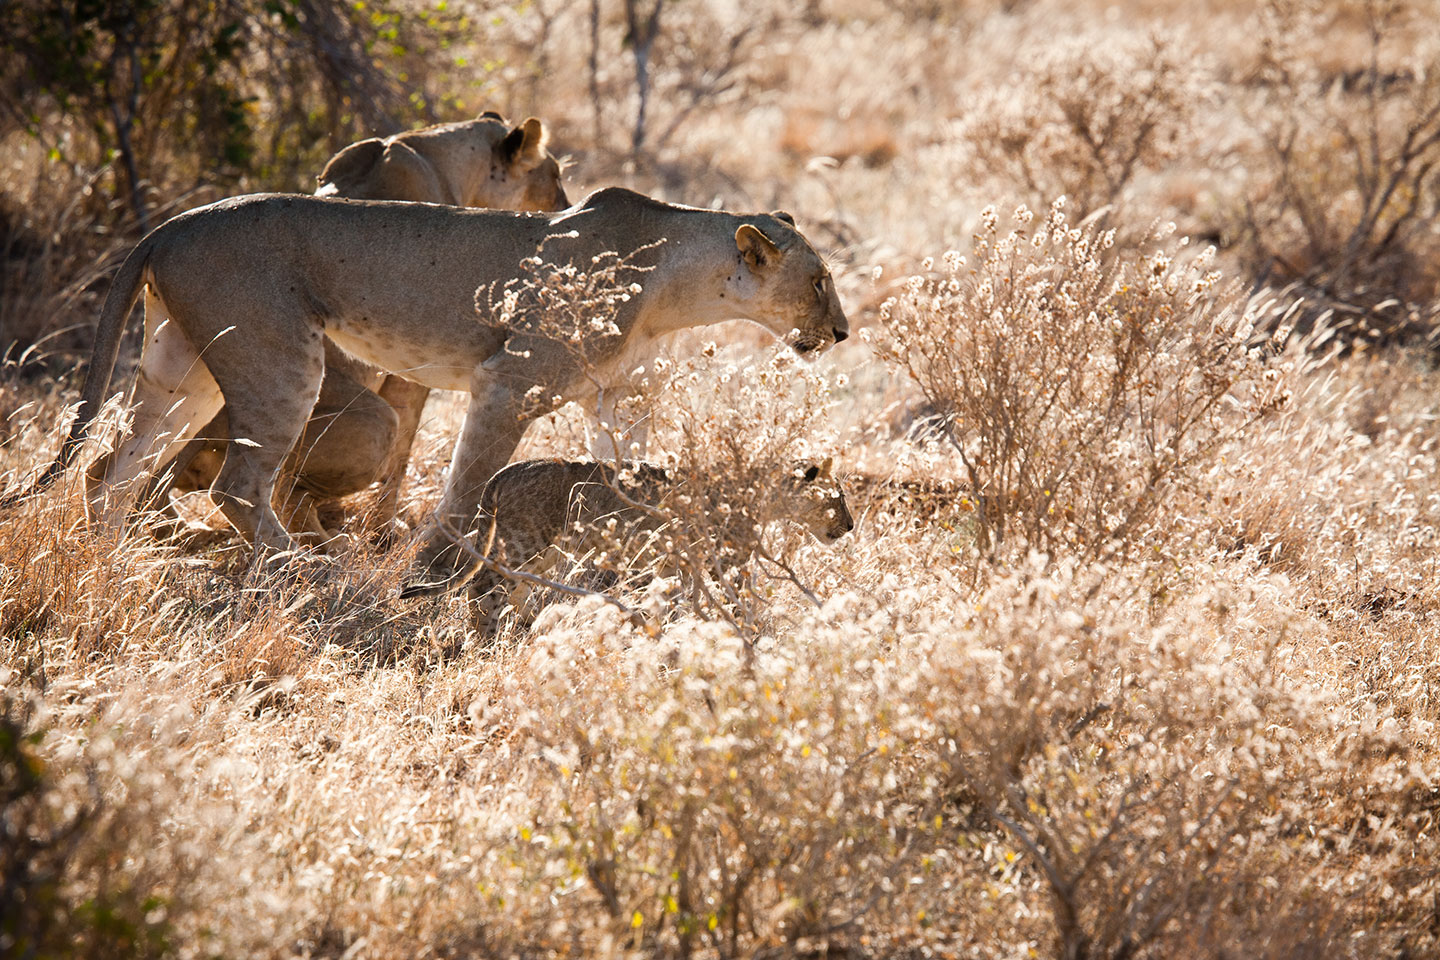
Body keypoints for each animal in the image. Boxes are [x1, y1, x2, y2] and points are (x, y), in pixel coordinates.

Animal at [2, 186, 848, 594]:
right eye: (819, 282)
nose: (842, 332)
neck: (678, 284)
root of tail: (174, 222)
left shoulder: (619, 398)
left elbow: (630, 475)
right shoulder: (510, 381)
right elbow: (466, 486)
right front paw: (433, 568)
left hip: (189, 367)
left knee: (108, 468)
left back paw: (109, 567)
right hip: (279, 360)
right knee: (238, 485)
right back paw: (313, 575)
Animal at [164, 112, 569, 538]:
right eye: (555, 176)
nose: (568, 205)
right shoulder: (411, 370)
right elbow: (404, 450)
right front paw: (386, 529)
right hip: (368, 421)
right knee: (283, 491)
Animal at [405, 456, 853, 635]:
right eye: (839, 496)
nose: (850, 526)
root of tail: (507, 469)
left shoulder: (677, 563)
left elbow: (681, 600)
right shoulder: (724, 561)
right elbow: (740, 600)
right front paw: (753, 633)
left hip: (542, 554)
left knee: (511, 591)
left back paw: (521, 633)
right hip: (522, 544)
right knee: (482, 588)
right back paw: (485, 640)